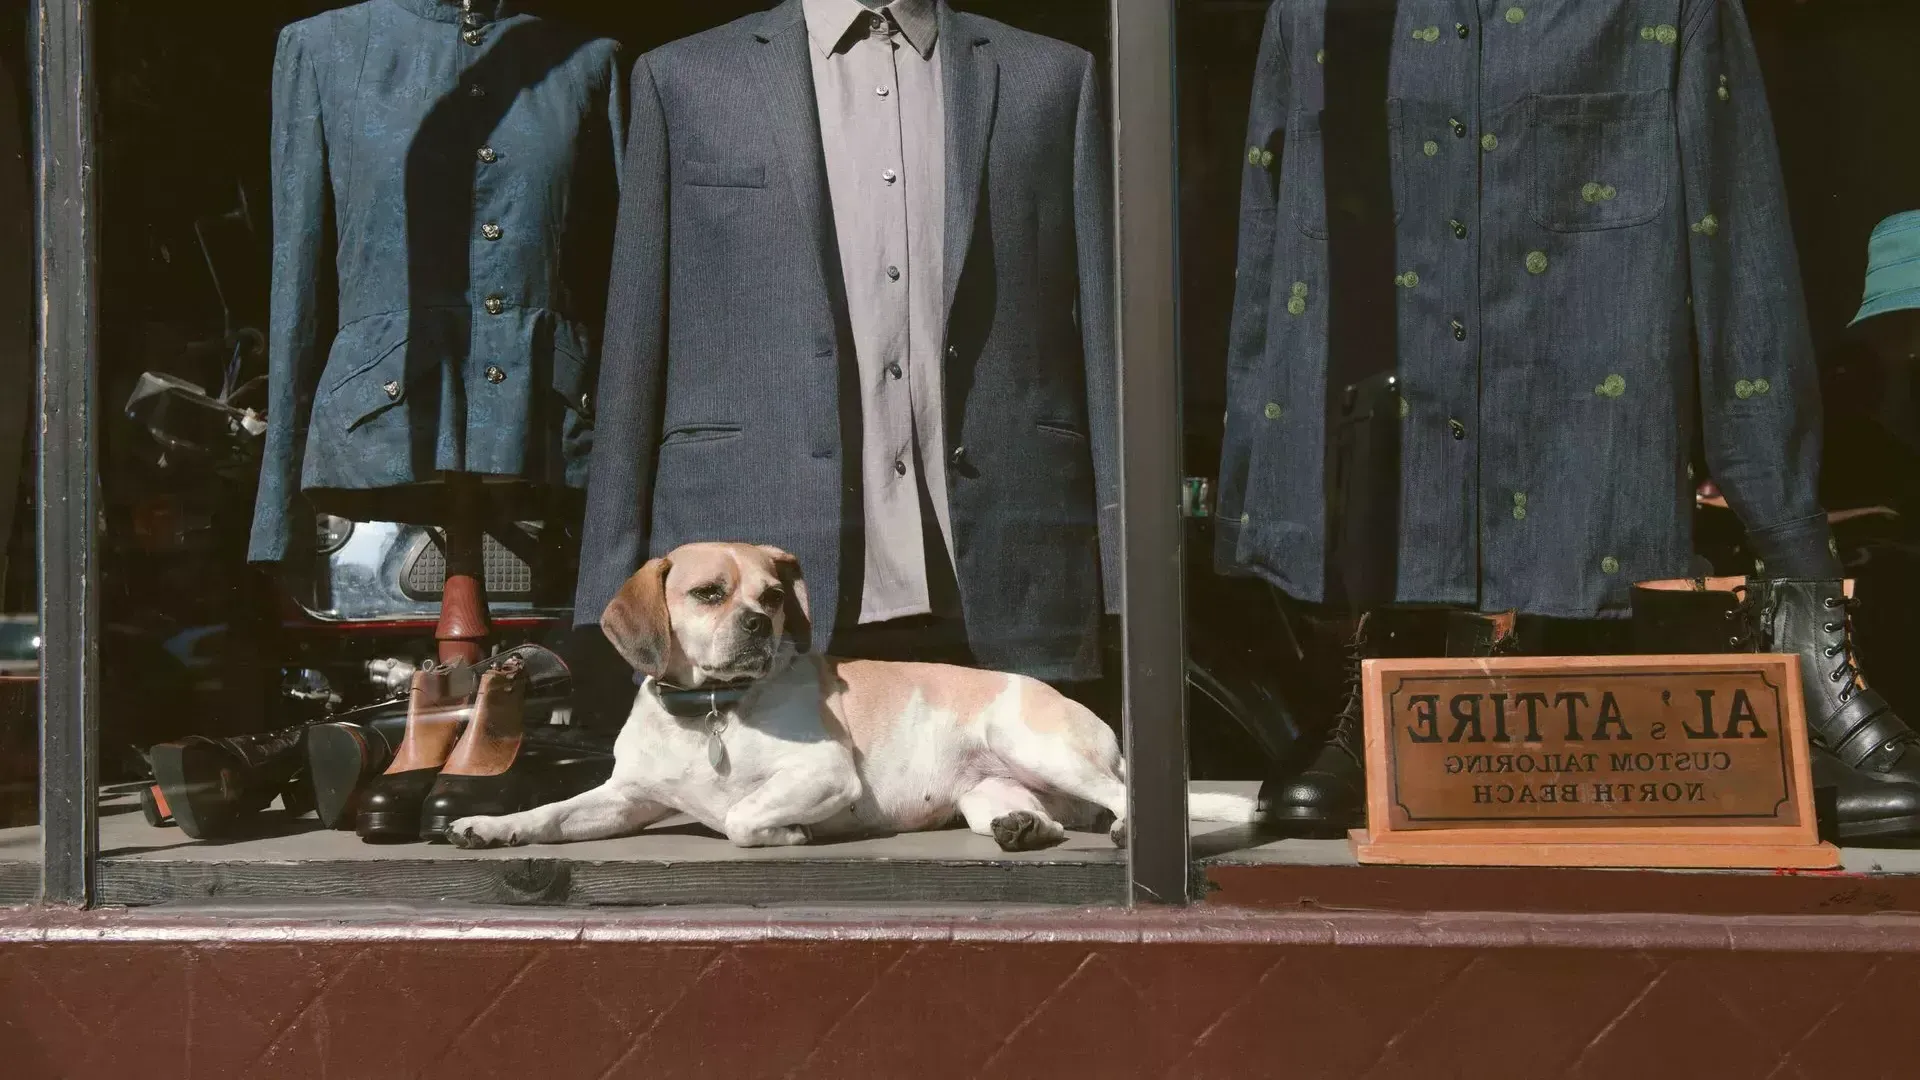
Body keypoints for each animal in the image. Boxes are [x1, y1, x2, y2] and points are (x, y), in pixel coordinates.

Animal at [445, 538, 1259, 849]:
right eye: (708, 593)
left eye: (775, 597)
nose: (757, 623)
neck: (710, 715)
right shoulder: (624, 799)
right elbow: (551, 814)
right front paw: (491, 826)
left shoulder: (824, 774)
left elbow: (740, 816)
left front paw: (785, 834)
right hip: (989, 792)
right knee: (1048, 820)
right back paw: (1027, 830)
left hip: (1034, 745)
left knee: (1126, 800)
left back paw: (1127, 831)